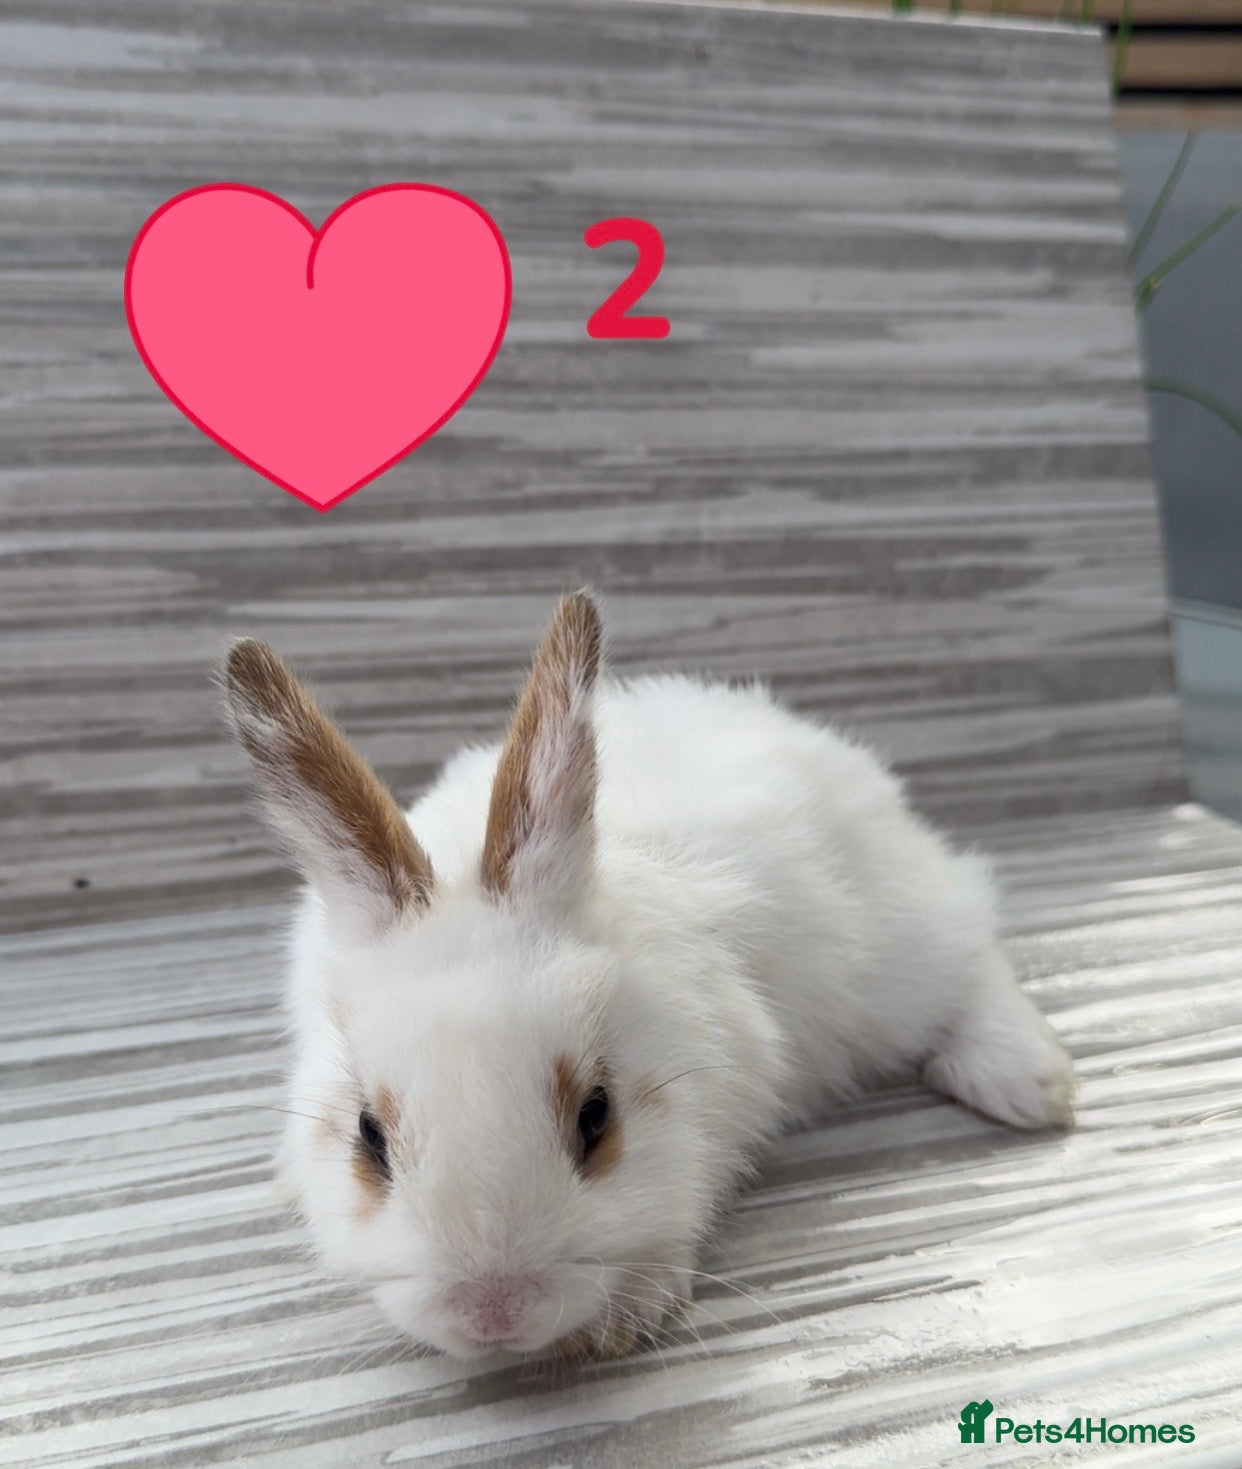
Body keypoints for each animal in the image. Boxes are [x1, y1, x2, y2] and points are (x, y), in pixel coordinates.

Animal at [222, 590, 1074, 1362]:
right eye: (369, 1137)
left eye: (597, 1115)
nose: (495, 1311)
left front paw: (630, 1311)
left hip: (903, 948)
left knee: (972, 952)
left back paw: (1031, 1083)